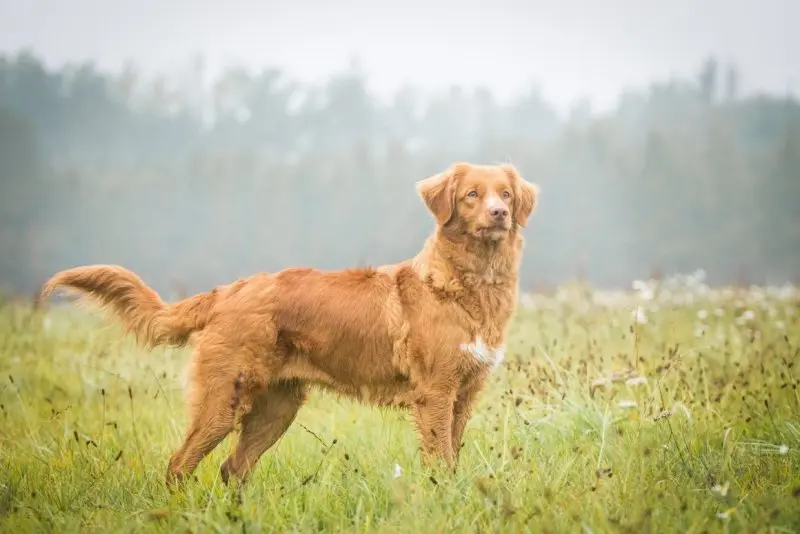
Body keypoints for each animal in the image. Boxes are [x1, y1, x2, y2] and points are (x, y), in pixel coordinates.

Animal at [37, 163, 536, 490]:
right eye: (472, 195)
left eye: (506, 194)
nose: (499, 214)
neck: (470, 282)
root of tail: (227, 291)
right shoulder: (434, 392)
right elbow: (441, 457)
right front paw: (442, 496)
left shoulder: (465, 392)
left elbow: (454, 451)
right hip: (223, 400)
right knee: (180, 464)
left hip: (275, 408)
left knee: (232, 469)